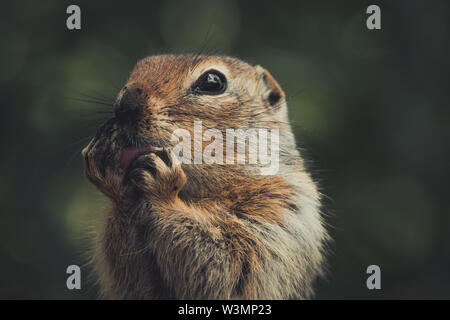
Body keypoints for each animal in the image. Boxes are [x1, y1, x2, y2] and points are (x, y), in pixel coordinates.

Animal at [81, 53, 326, 298]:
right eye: (140, 67)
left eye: (212, 82)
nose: (124, 106)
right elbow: (136, 284)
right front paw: (112, 176)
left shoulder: (277, 215)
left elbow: (229, 268)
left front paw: (163, 191)